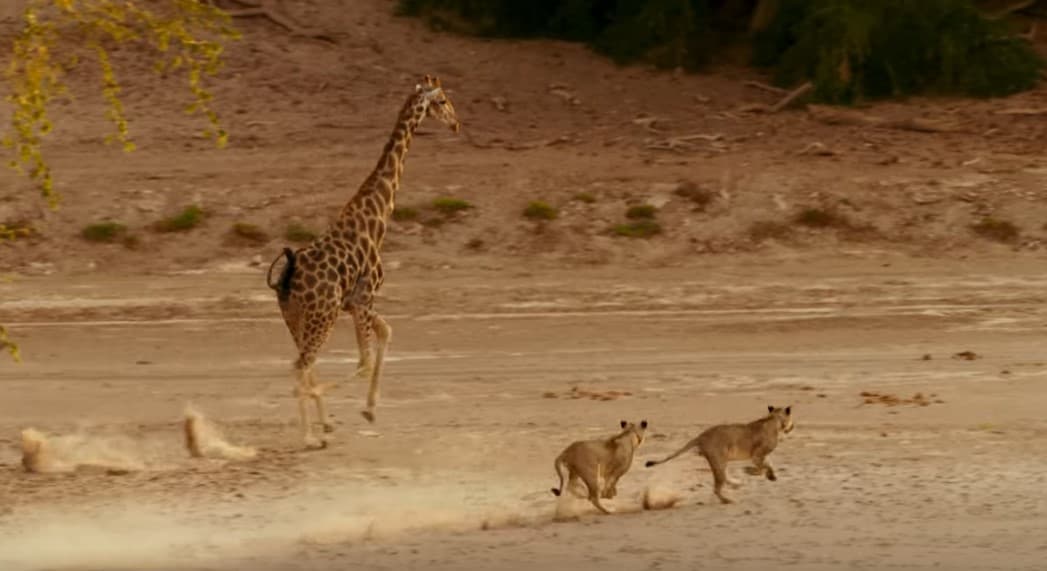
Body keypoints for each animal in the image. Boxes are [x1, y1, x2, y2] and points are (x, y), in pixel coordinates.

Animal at [266, 74, 461, 448]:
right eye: (442, 100)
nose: (457, 123)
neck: (376, 216)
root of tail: (287, 276)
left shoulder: (356, 303)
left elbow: (386, 334)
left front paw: (368, 409)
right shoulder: (364, 297)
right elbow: (365, 361)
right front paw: (341, 415)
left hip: (294, 318)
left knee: (305, 363)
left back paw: (318, 425)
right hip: (320, 317)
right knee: (300, 364)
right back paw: (308, 436)